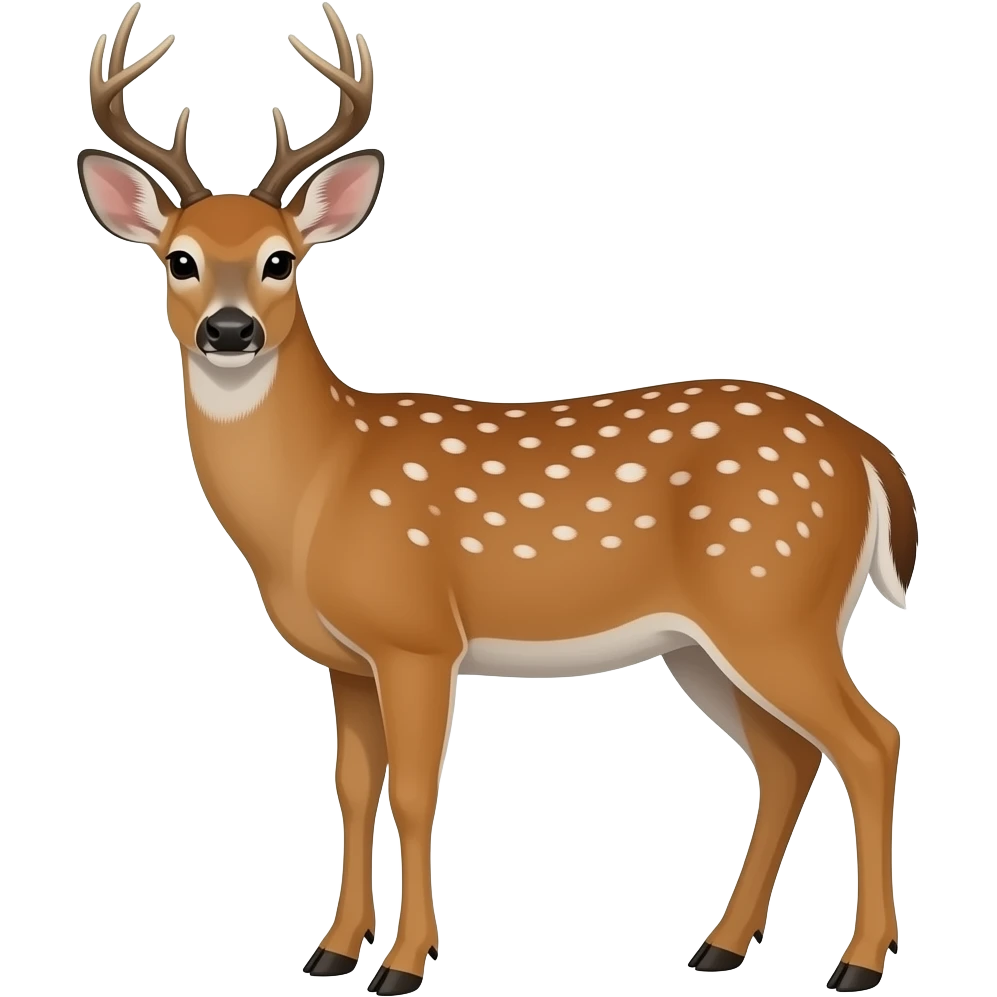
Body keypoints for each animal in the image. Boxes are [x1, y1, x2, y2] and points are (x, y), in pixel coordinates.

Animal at [77, 4, 916, 994]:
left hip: (775, 602)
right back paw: (719, 945)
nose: (230, 330)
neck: (319, 487)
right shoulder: (348, 659)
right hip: (709, 641)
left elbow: (412, 790)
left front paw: (403, 963)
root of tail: (866, 451)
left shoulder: (417, 635)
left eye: (283, 260)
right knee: (787, 758)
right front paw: (330, 949)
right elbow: (351, 788)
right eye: (179, 260)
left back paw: (856, 961)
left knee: (870, 740)